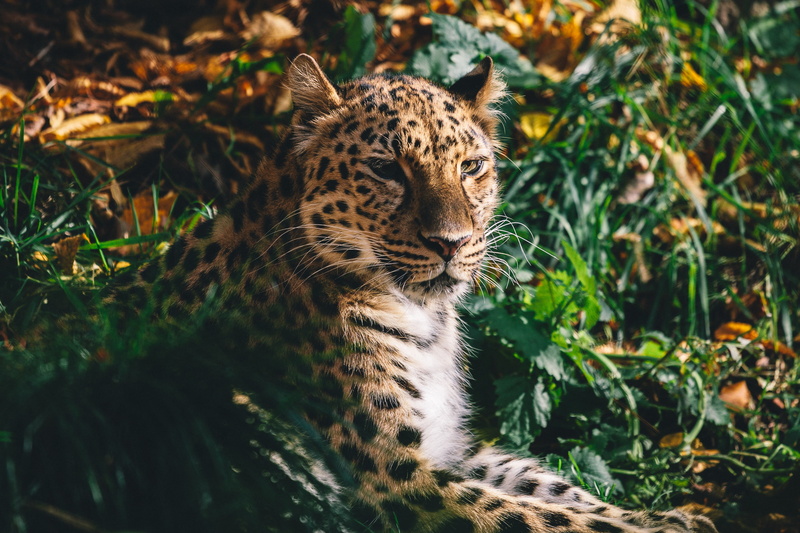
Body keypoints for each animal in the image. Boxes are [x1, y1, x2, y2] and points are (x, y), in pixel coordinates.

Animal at [106, 53, 718, 533]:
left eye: (471, 167)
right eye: (385, 168)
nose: (452, 242)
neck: (423, 321)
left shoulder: (449, 444)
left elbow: (551, 486)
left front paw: (667, 517)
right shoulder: (390, 476)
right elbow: (535, 516)